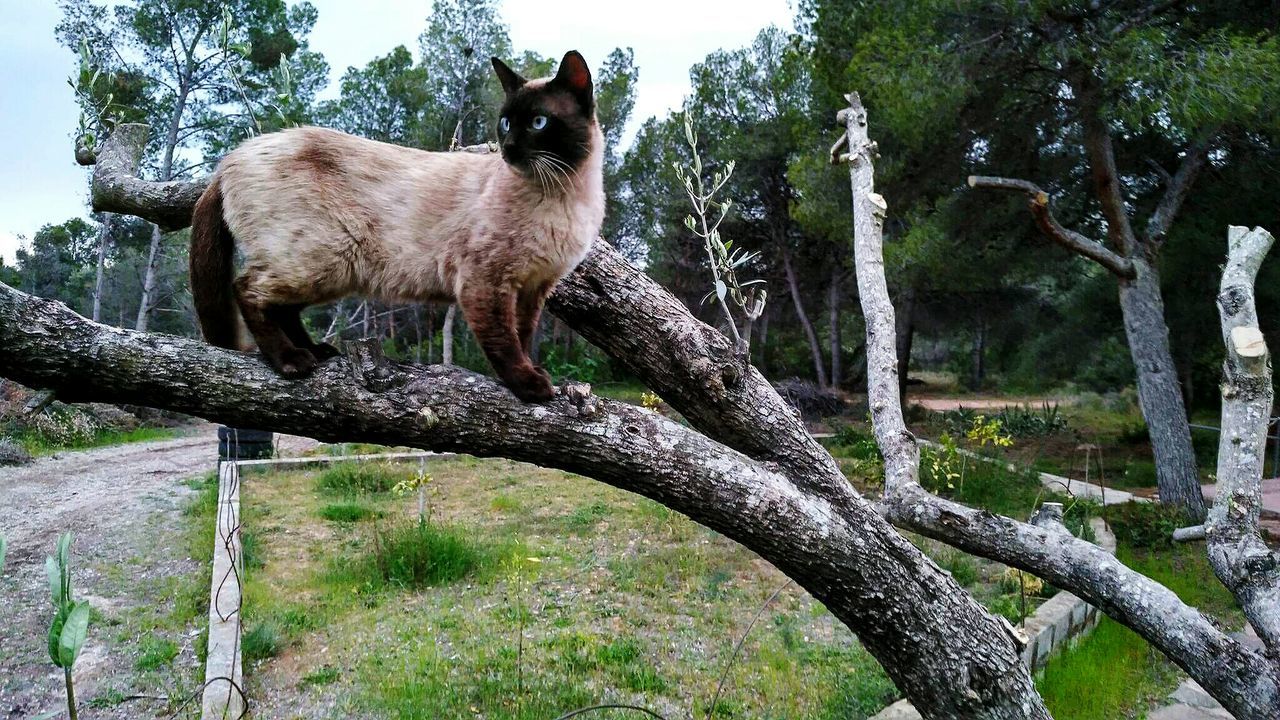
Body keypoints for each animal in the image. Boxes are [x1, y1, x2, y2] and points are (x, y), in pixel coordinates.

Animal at [189, 49, 604, 404]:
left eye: (538, 123)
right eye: (505, 123)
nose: (509, 148)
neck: (562, 192)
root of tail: (230, 158)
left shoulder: (534, 288)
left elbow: (523, 335)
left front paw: (535, 373)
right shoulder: (486, 281)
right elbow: (504, 342)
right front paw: (530, 385)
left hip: (329, 272)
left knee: (283, 309)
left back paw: (317, 350)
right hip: (320, 262)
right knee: (246, 289)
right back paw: (291, 360)